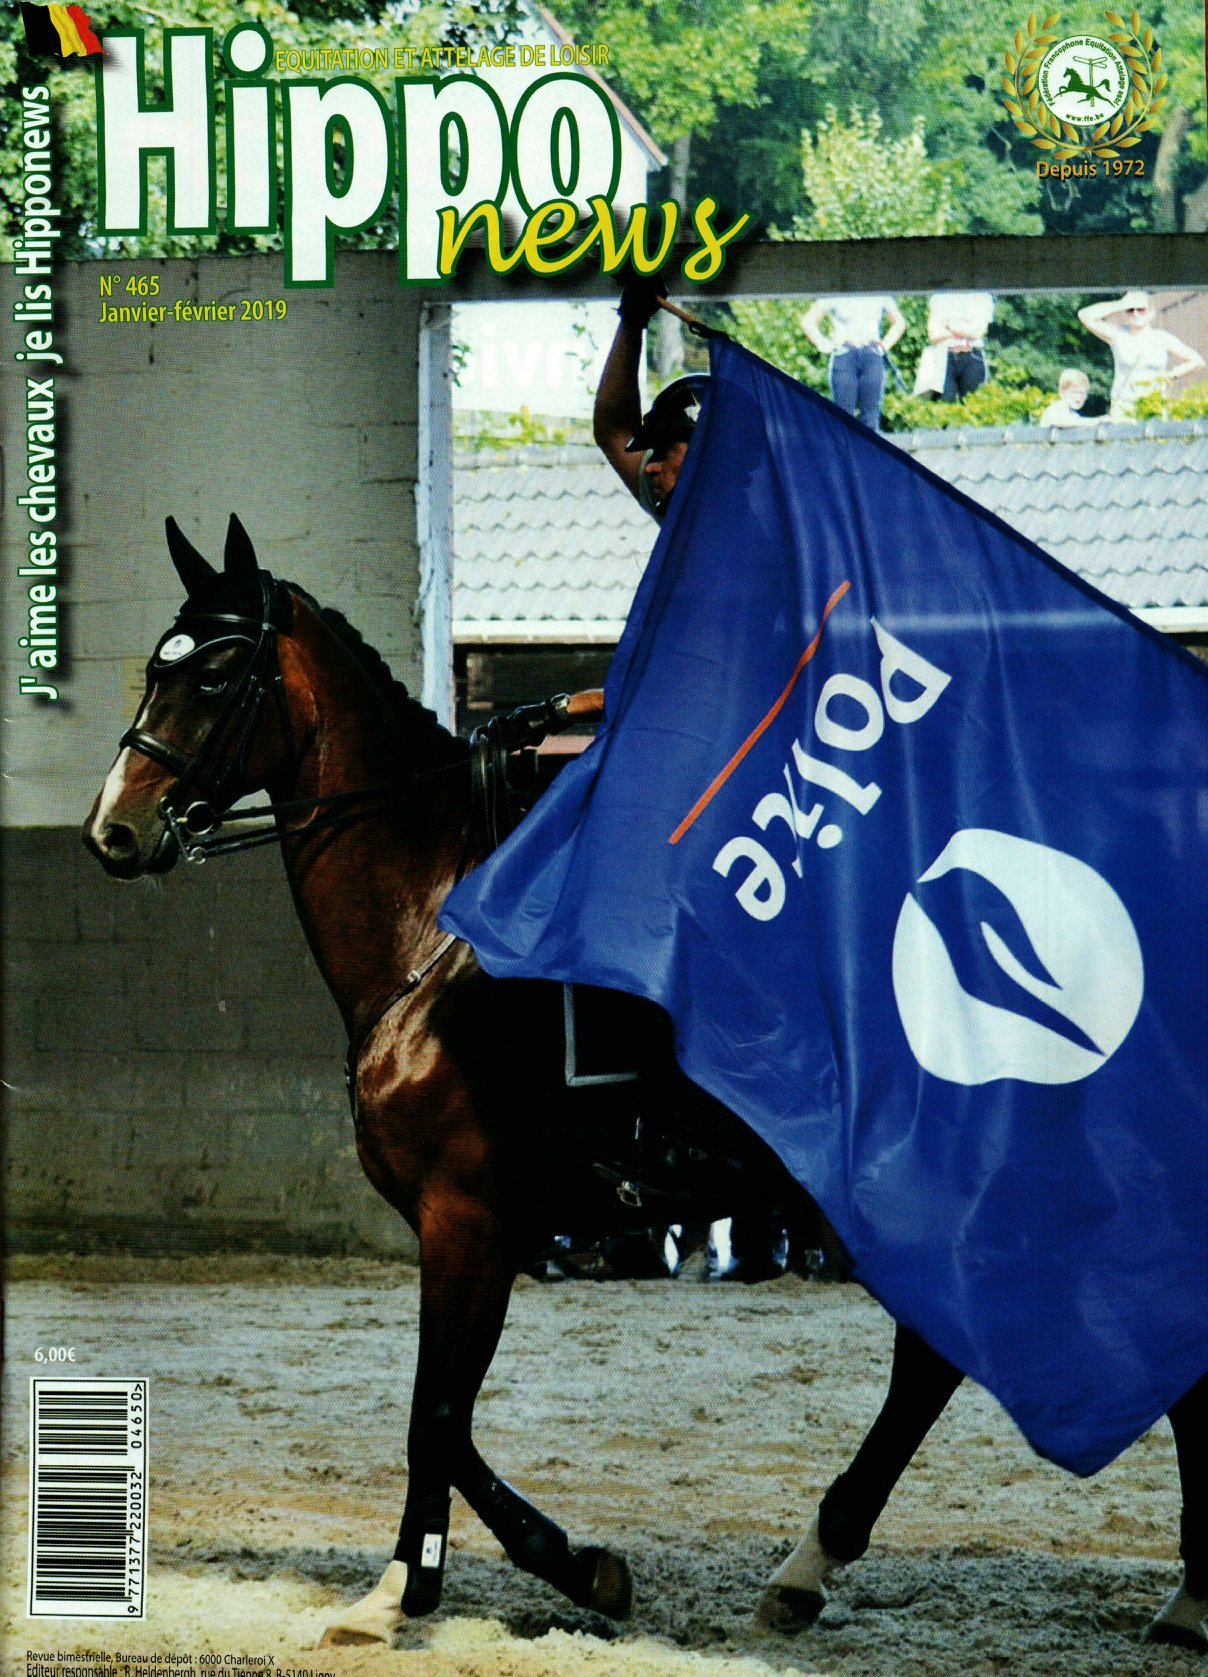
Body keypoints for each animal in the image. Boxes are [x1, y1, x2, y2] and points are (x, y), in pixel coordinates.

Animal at [83, 515, 1207, 1653]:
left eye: (216, 673)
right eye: (155, 668)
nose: (114, 829)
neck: (433, 942)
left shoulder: (465, 1215)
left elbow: (433, 1417)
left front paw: (405, 1591)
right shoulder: (476, 1227)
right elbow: (452, 1423)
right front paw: (574, 1569)